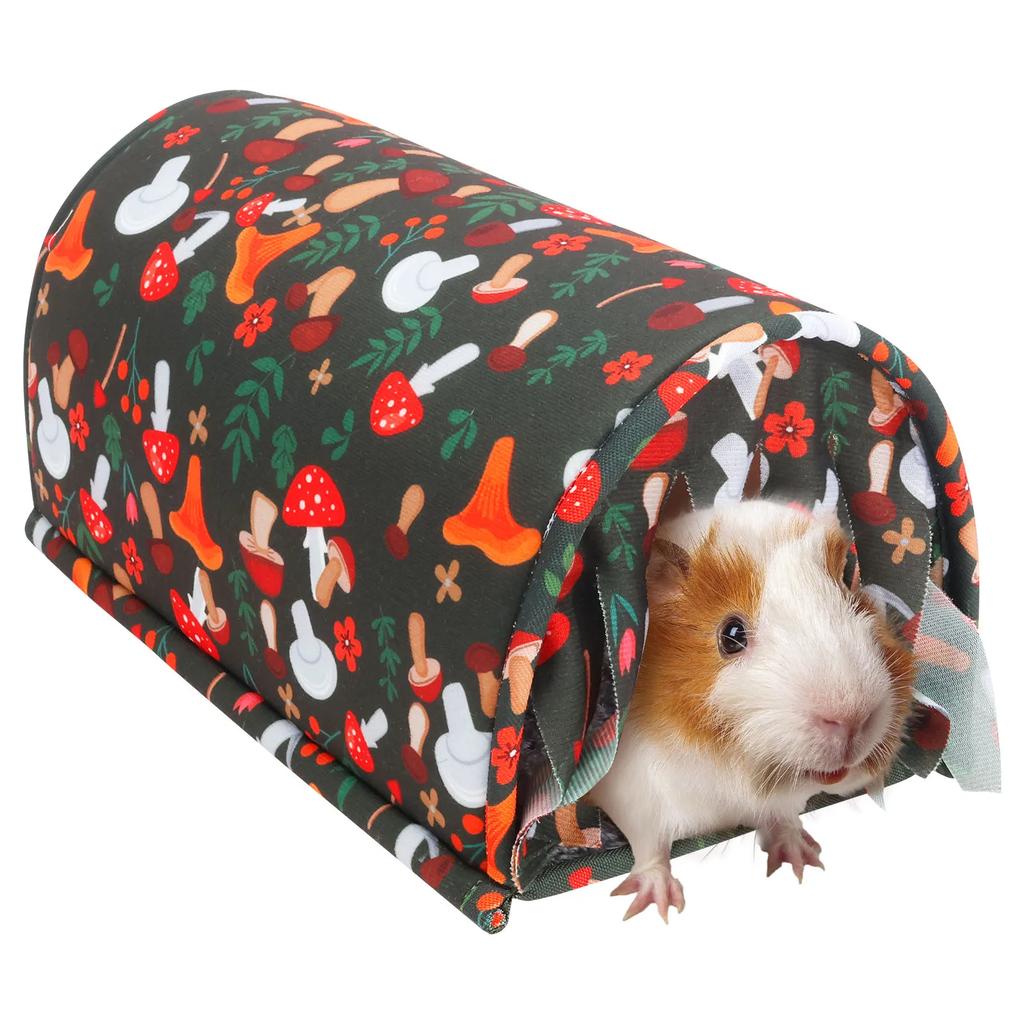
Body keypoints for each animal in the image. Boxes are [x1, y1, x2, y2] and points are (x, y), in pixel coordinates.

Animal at [587, 497, 916, 922]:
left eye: (847, 583)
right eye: (731, 634)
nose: (852, 718)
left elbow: (782, 819)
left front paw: (802, 858)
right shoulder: (635, 793)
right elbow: (650, 849)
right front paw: (658, 905)